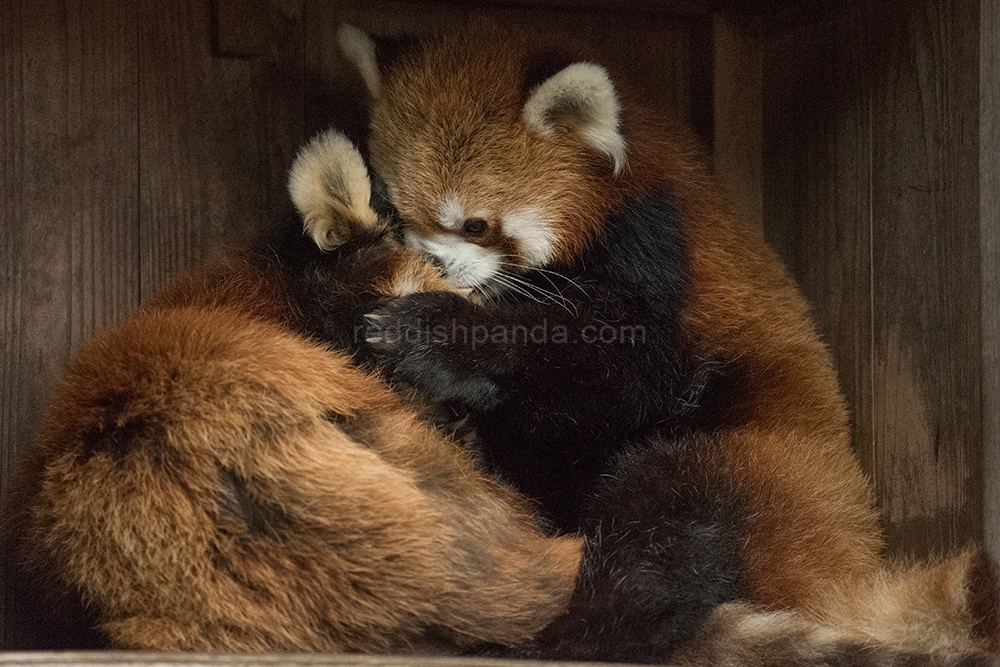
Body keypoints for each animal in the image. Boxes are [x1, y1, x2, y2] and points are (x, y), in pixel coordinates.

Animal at [320, 22, 1000, 664]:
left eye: (475, 224)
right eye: (399, 213)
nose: (434, 263)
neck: (618, 195)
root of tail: (852, 555)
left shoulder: (659, 252)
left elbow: (629, 370)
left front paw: (436, 334)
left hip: (755, 461)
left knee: (666, 512)